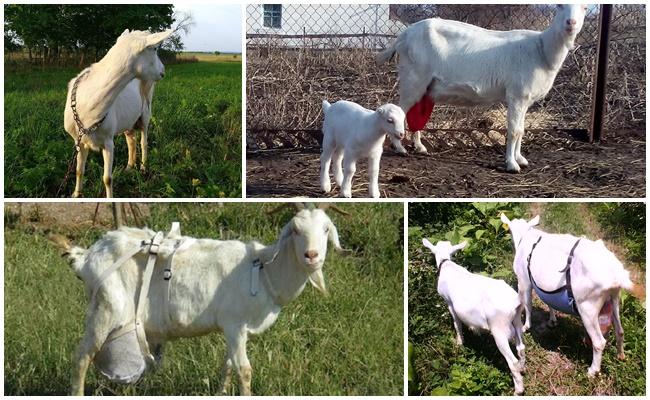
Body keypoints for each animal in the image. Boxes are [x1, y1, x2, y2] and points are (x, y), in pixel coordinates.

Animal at [57, 203, 350, 394]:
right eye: (296, 230)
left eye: (326, 229)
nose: (312, 256)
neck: (264, 270)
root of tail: (87, 256)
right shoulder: (234, 323)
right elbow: (244, 369)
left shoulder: (236, 331)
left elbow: (229, 365)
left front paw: (220, 393)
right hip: (105, 309)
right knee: (81, 357)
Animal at [61, 28, 170, 198]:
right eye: (154, 49)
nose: (163, 70)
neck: (89, 101)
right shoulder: (79, 141)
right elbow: (79, 170)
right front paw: (76, 194)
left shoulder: (108, 141)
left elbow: (107, 178)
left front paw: (109, 199)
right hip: (128, 120)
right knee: (131, 140)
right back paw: (129, 167)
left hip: (146, 110)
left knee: (143, 141)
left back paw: (143, 168)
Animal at [374, 3, 588, 172]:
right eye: (559, 5)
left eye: (585, 7)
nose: (571, 23)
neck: (542, 50)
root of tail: (403, 35)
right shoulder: (517, 95)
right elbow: (514, 130)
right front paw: (512, 165)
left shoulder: (525, 98)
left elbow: (522, 129)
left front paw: (521, 159)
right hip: (413, 77)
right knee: (401, 109)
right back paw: (400, 149)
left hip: (424, 84)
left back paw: (419, 147)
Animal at [418, 239, 524, 396]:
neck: (447, 264)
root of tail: (515, 302)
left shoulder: (450, 303)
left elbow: (457, 323)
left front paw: (459, 342)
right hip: (517, 322)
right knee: (521, 347)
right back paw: (523, 368)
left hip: (499, 328)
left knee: (512, 361)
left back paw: (518, 390)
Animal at [498, 214, 640, 376]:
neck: (526, 235)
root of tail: (617, 274)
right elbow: (549, 301)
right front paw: (552, 321)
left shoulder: (524, 281)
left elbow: (527, 304)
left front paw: (526, 326)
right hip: (614, 297)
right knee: (620, 330)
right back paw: (620, 356)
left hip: (588, 307)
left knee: (599, 342)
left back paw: (592, 371)